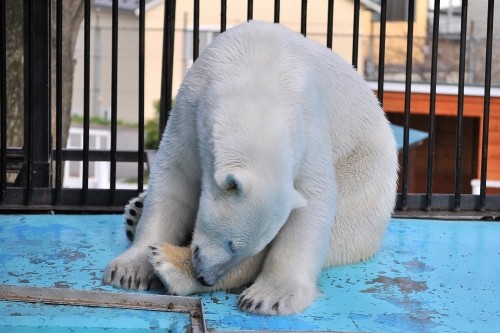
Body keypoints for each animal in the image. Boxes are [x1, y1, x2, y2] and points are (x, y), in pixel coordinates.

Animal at [102, 20, 398, 314]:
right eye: (231, 242)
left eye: (240, 246)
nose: (207, 278)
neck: (255, 76)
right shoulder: (192, 104)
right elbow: (175, 176)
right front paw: (130, 271)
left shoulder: (310, 128)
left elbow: (315, 199)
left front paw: (272, 295)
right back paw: (136, 212)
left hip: (362, 176)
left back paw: (171, 264)